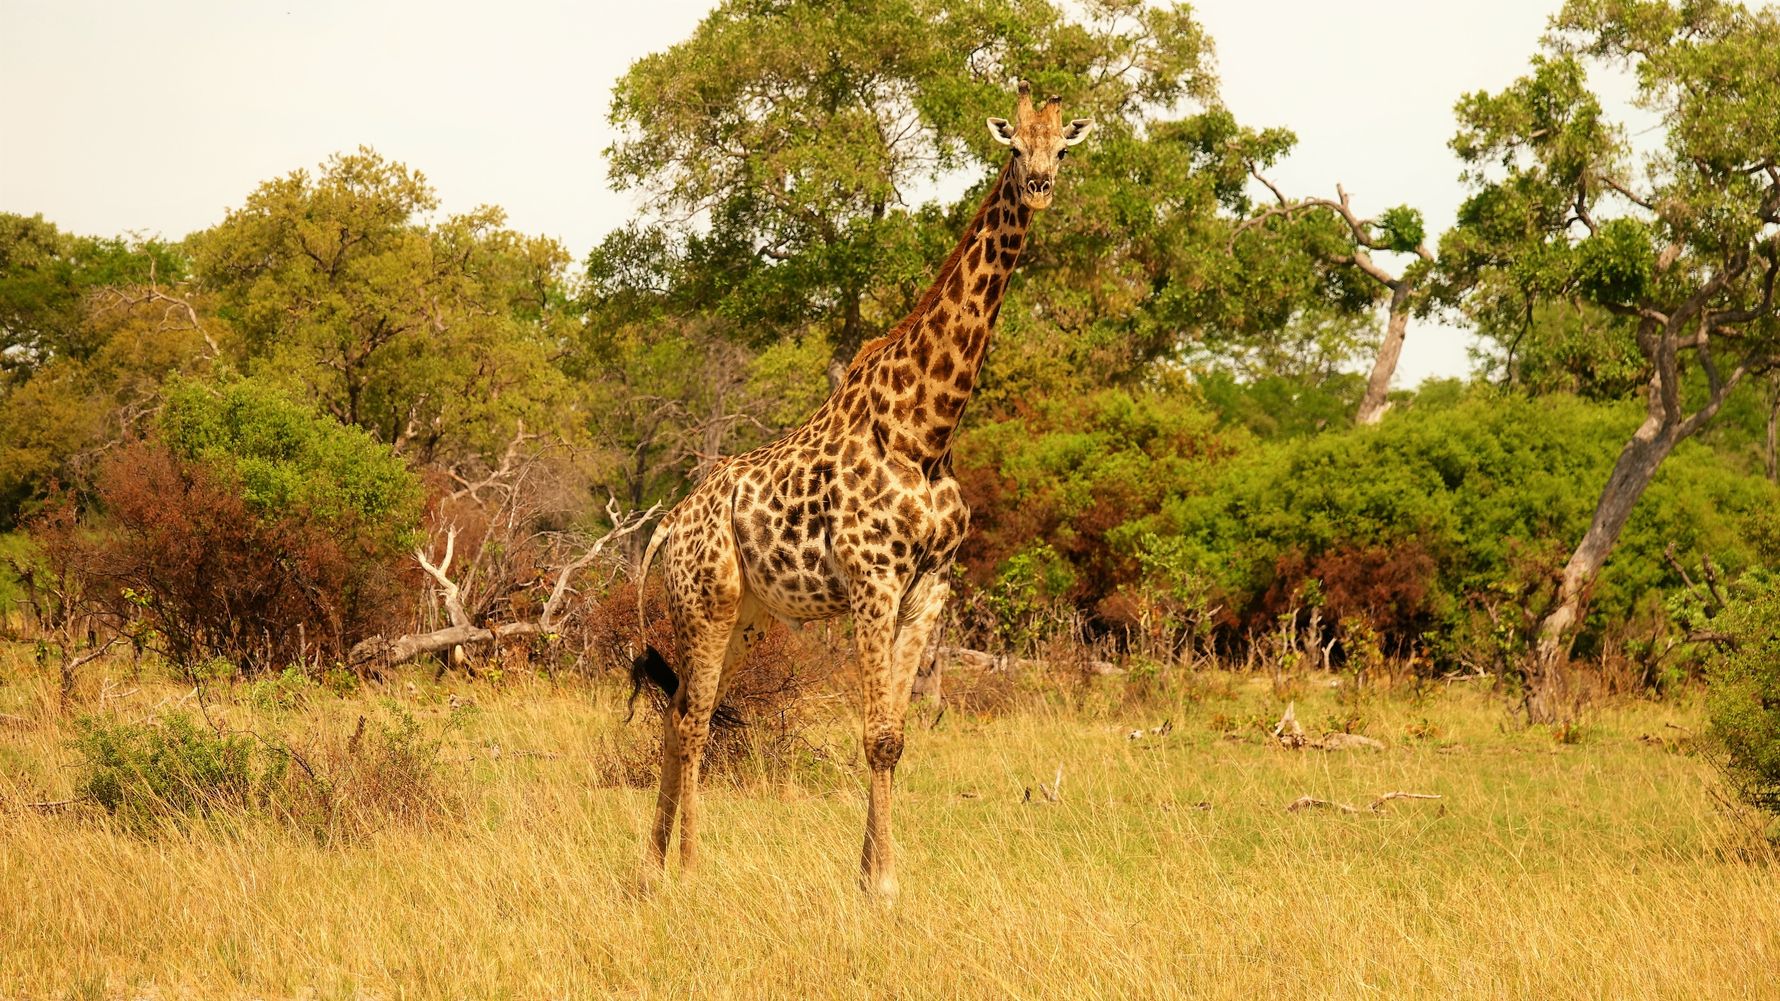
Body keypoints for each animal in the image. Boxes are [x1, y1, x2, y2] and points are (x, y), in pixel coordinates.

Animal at [631, 80, 1092, 899]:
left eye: (1061, 147)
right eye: (1012, 145)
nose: (1039, 185)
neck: (928, 432)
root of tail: (667, 525)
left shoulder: (930, 585)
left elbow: (897, 737)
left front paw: (879, 875)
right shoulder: (873, 580)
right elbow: (875, 734)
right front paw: (879, 886)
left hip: (743, 612)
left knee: (681, 707)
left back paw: (653, 864)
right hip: (704, 599)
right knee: (692, 718)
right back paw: (689, 866)